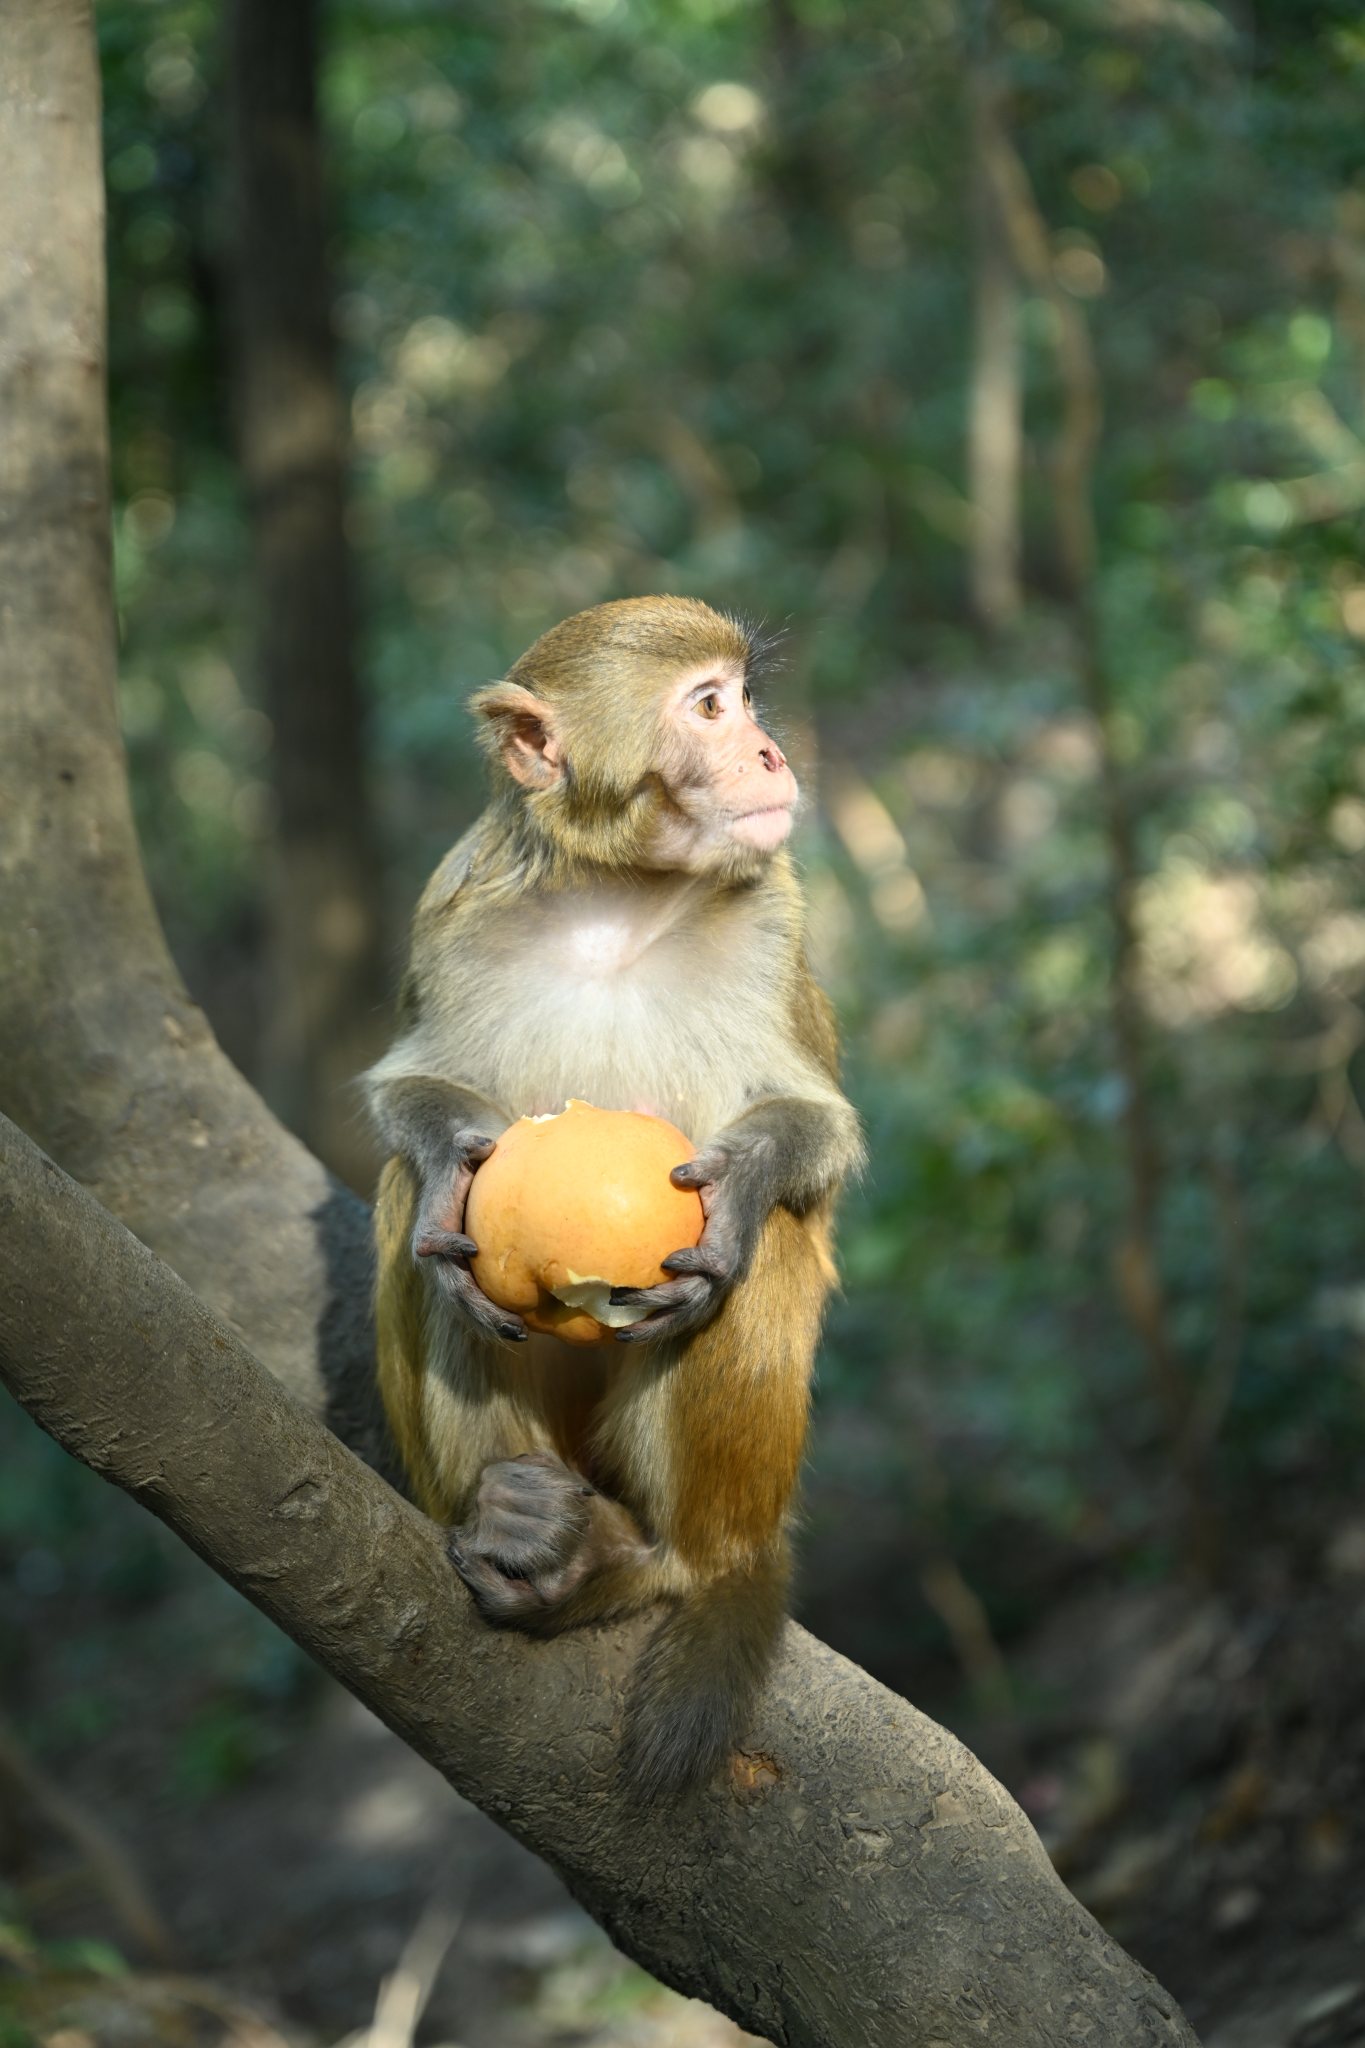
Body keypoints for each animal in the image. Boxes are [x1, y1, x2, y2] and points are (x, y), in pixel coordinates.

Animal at [362, 593, 863, 1794]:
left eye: (742, 698)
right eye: (710, 707)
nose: (771, 752)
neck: (617, 900)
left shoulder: (776, 918)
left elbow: (817, 1134)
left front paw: (744, 1187)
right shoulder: (449, 911)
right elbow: (405, 1100)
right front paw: (449, 1164)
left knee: (762, 1262)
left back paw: (660, 1564)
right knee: (411, 1226)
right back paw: (513, 1521)